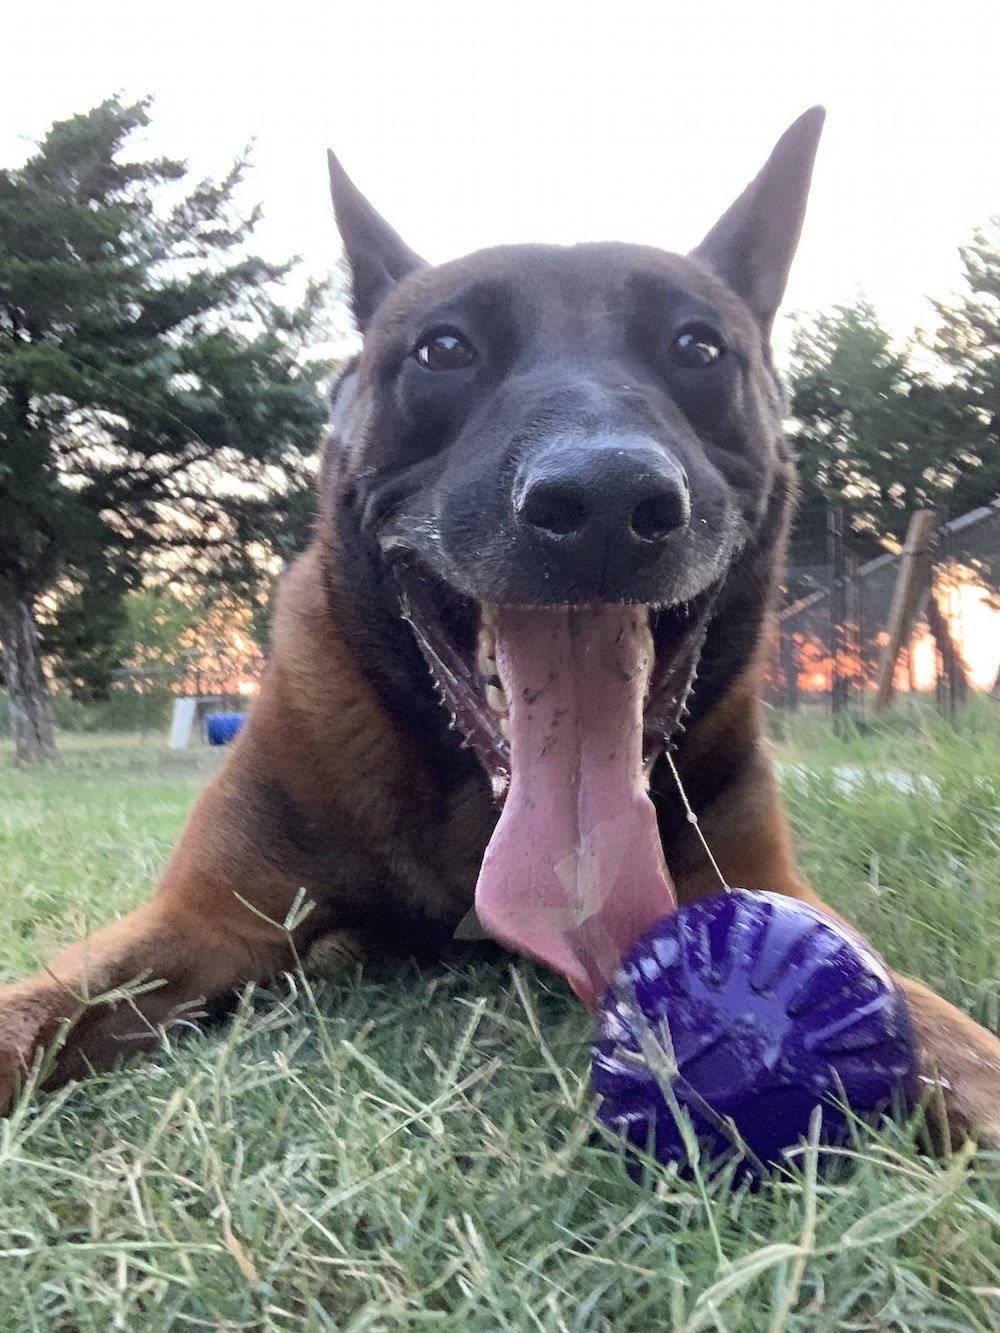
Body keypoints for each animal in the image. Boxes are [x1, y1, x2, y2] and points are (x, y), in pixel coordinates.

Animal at [1, 109, 1000, 1141]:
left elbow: (952, 1043)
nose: (605, 501)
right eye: (443, 349)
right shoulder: (202, 920)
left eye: (698, 347)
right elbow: (33, 1007)